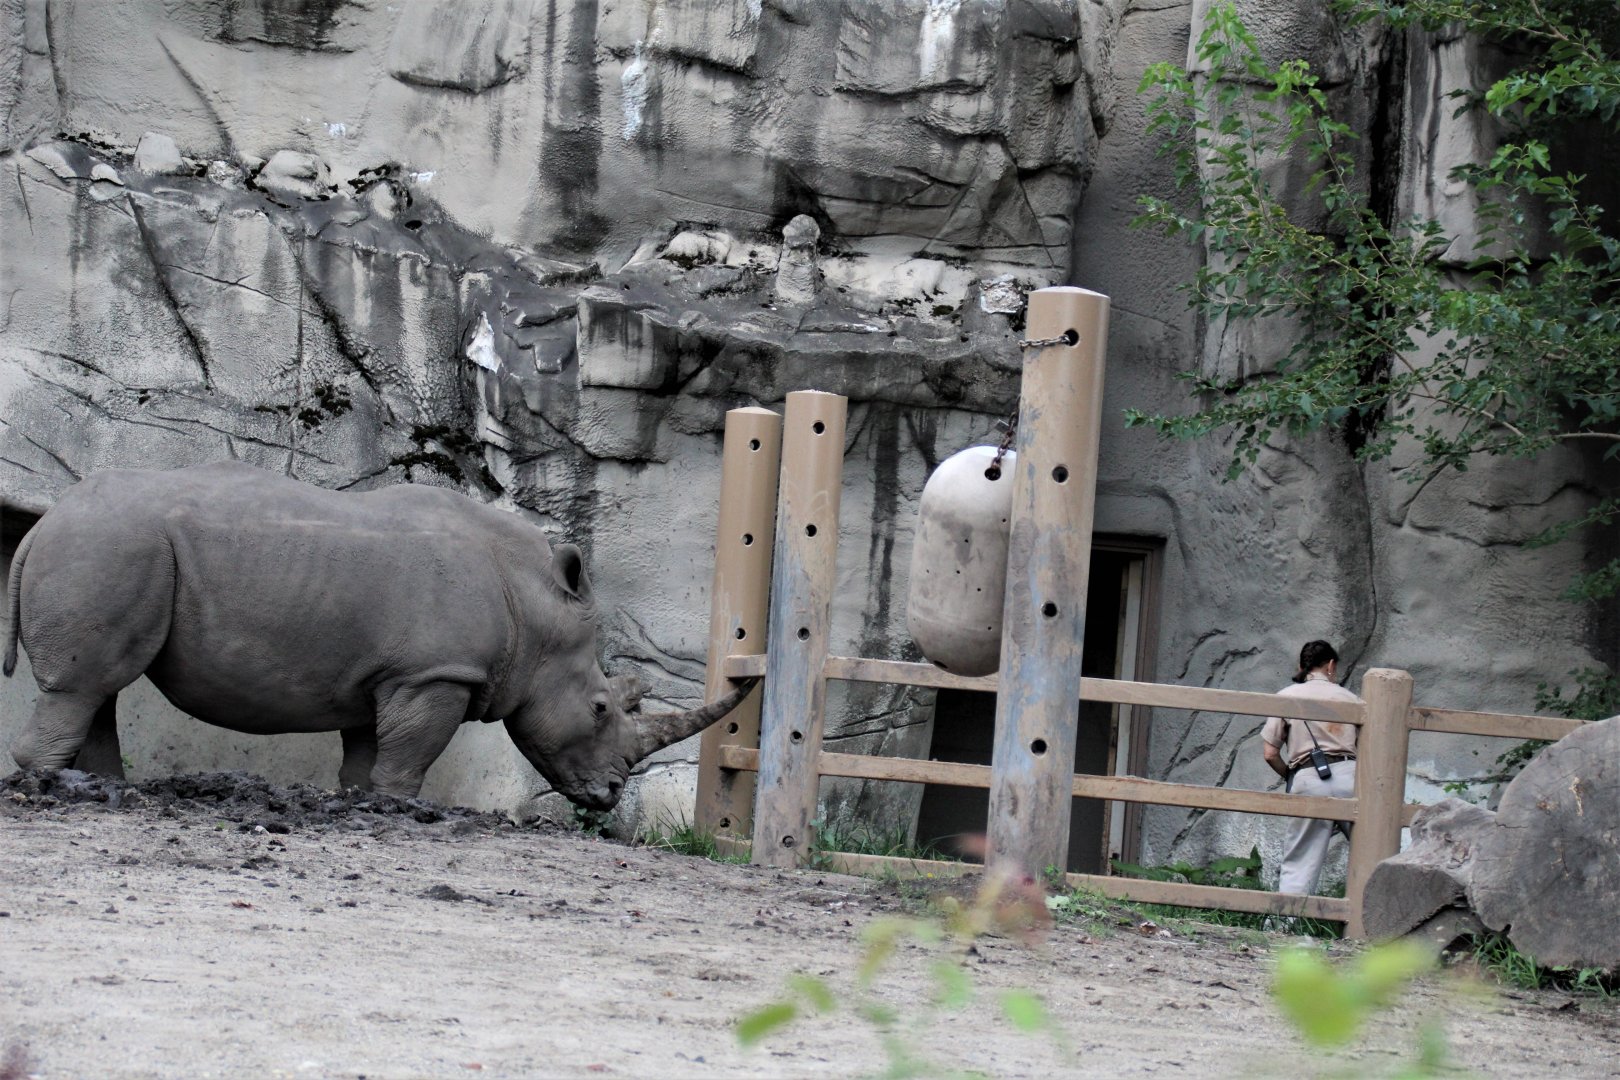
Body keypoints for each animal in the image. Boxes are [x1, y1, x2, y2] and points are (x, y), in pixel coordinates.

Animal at [3, 461, 753, 808]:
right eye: (601, 708)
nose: (610, 797)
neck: (533, 606)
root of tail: (42, 524)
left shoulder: (389, 674)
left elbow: (367, 749)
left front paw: (361, 802)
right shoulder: (435, 672)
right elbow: (409, 753)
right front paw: (400, 807)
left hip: (109, 546)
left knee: (100, 687)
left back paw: (101, 786)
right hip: (111, 545)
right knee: (85, 684)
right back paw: (55, 788)